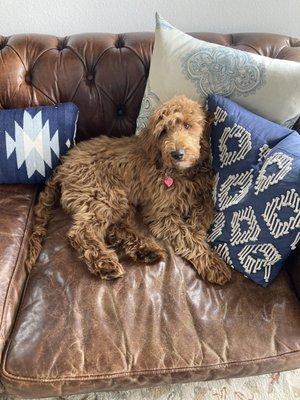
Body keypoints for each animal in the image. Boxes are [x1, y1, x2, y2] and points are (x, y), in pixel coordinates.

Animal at [26, 96, 232, 284]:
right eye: (164, 131)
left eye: (188, 125)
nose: (177, 154)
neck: (181, 174)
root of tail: (62, 165)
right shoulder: (162, 213)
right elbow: (186, 235)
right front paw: (212, 263)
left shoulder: (204, 196)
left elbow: (202, 216)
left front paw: (198, 229)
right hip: (105, 194)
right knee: (82, 232)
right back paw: (105, 263)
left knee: (113, 228)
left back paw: (145, 251)